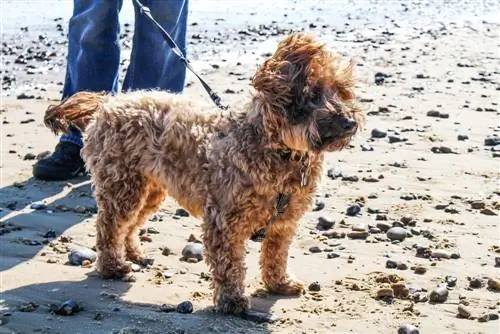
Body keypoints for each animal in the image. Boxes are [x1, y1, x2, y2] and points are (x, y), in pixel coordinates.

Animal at [43, 32, 364, 314]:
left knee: (130, 224)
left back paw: (133, 253)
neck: (279, 149)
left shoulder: (283, 223)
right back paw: (113, 266)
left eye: (341, 90)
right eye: (313, 93)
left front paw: (279, 284)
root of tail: (108, 104)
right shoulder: (224, 221)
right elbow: (228, 264)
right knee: (109, 226)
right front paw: (232, 301)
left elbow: (275, 255)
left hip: (150, 189)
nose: (349, 122)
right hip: (123, 185)